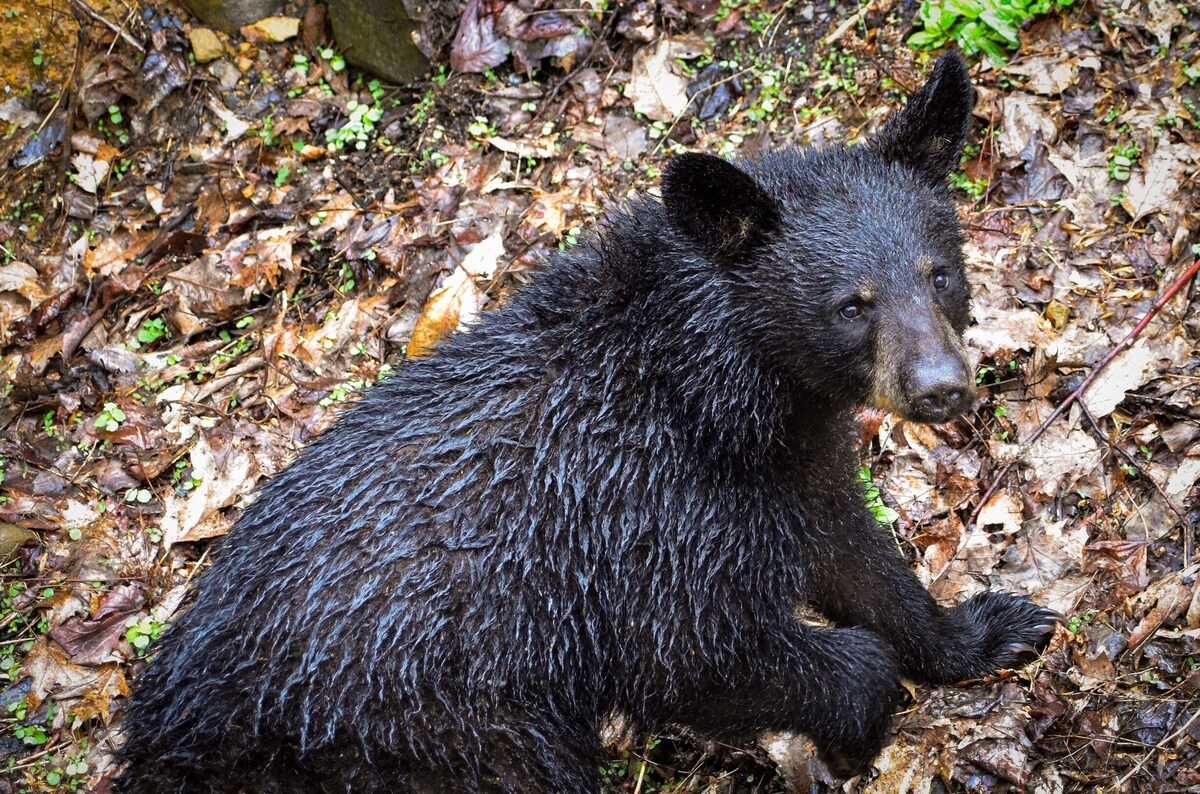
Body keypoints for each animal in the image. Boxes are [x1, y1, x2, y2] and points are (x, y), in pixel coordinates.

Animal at [114, 51, 1058, 793]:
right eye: (851, 305)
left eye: (938, 272)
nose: (942, 388)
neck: (710, 398)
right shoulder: (642, 527)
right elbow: (697, 651)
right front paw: (859, 723)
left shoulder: (792, 468)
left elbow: (861, 560)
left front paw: (990, 628)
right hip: (444, 736)